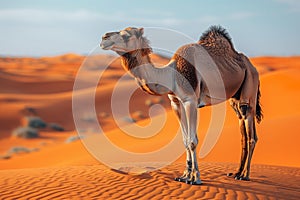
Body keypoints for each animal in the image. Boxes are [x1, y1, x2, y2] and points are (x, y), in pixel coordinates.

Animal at [99, 25, 262, 185]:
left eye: (126, 35)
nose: (103, 38)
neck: (171, 74)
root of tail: (252, 66)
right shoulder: (176, 103)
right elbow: (185, 140)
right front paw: (184, 176)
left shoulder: (190, 101)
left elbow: (192, 141)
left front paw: (195, 178)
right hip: (235, 98)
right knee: (242, 131)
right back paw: (236, 173)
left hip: (250, 87)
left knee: (251, 133)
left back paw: (245, 175)